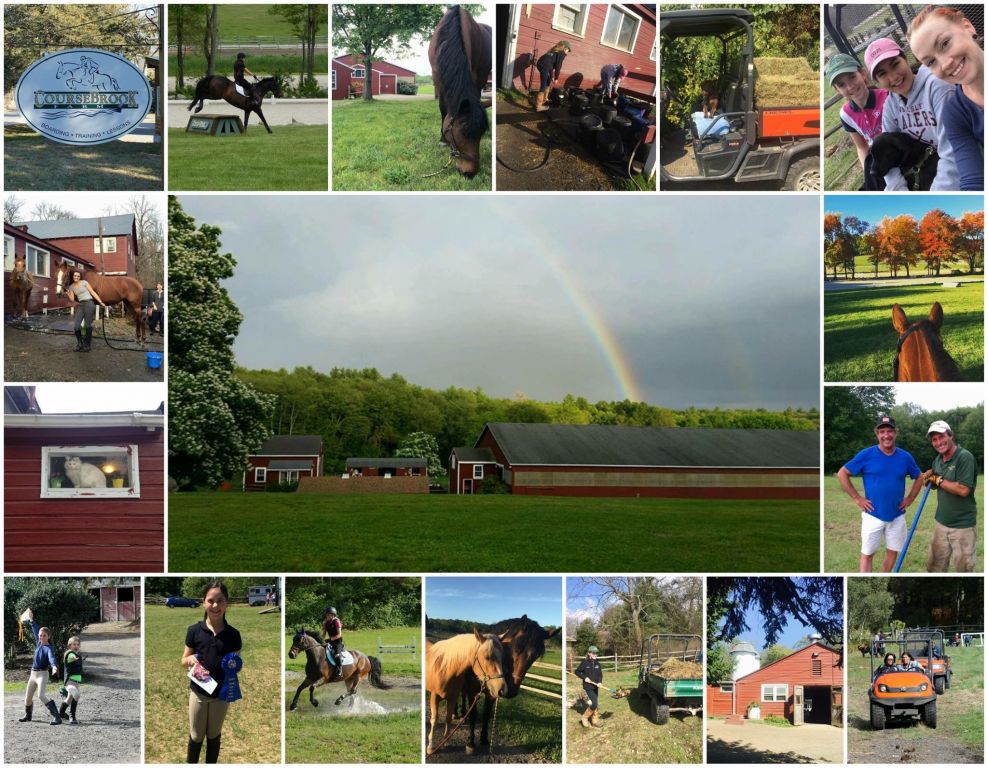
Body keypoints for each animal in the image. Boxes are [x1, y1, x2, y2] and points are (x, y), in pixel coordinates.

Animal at [424, 628, 510, 760]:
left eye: (503, 657)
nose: (502, 690)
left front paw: (445, 741)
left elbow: (448, 718)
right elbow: (434, 720)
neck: (445, 668)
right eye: (487, 657)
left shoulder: (453, 697)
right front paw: (431, 747)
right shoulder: (434, 697)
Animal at [426, 6, 492, 177]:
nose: (469, 173)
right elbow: (443, 109)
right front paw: (442, 139)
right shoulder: (437, 77)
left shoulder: (475, 73)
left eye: (480, 134)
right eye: (462, 133)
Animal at [460, 616, 560, 756]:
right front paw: (470, 743)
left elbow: (486, 715)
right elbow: (473, 715)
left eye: (535, 656)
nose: (512, 690)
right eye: (517, 648)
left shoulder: (492, 694)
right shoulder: (473, 691)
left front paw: (484, 739)